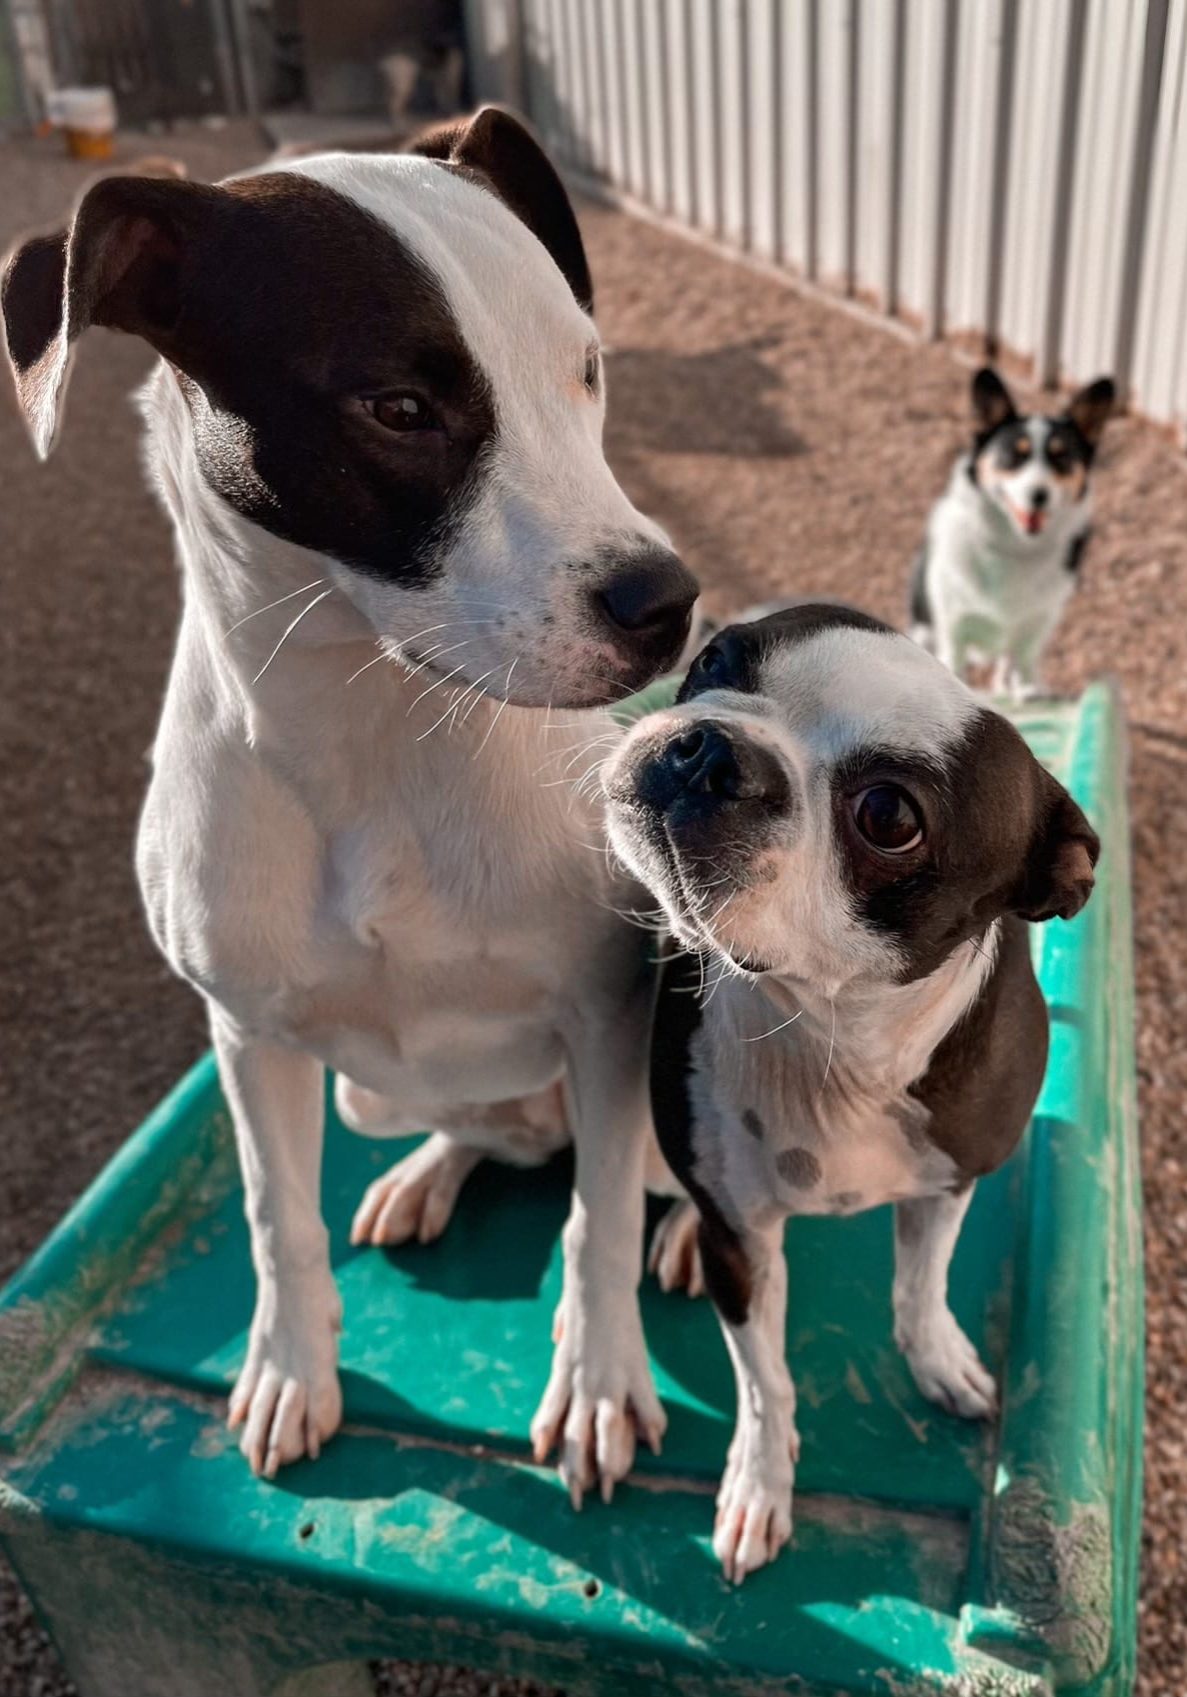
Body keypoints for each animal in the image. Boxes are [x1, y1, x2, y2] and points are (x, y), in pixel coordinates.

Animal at [4, 109, 699, 1500]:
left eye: (587, 371)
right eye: (399, 407)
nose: (669, 602)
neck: (373, 731)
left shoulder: (608, 1019)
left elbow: (595, 1226)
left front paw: (599, 1378)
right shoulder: (248, 1034)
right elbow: (277, 1220)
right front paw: (290, 1366)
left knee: (636, 1178)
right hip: (364, 1092)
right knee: (484, 1129)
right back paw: (426, 1176)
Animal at [607, 604, 1100, 1581]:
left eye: (887, 815)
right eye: (711, 660)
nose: (708, 749)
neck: (828, 1035)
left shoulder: (953, 1177)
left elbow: (919, 1285)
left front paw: (939, 1359)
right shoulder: (743, 1249)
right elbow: (766, 1382)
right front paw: (759, 1484)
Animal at [910, 366, 1113, 695]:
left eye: (1061, 458)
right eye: (1015, 456)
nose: (1039, 495)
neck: (1016, 547)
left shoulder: (1034, 631)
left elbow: (1024, 671)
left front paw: (1026, 692)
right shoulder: (953, 631)